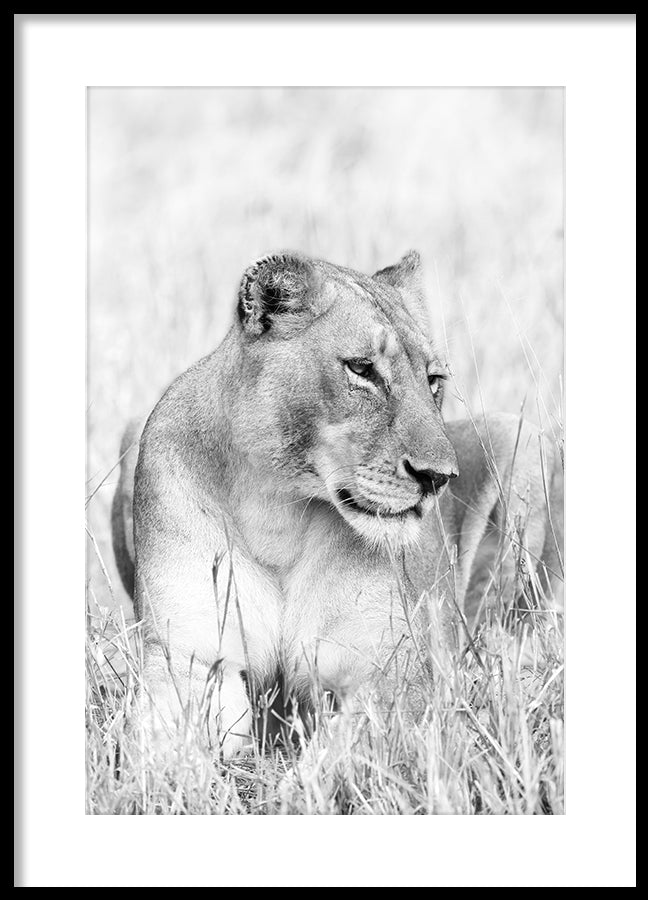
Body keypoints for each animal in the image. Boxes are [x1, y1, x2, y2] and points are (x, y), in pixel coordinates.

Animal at [111, 250, 563, 759]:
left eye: (433, 380)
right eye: (362, 369)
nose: (438, 478)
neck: (277, 509)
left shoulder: (389, 679)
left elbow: (328, 761)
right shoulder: (191, 661)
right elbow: (164, 752)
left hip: (522, 441)